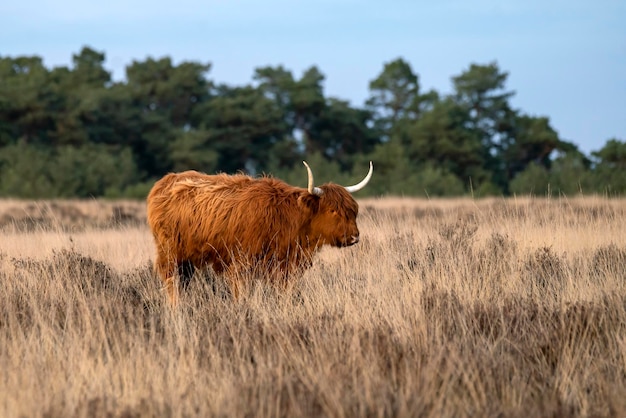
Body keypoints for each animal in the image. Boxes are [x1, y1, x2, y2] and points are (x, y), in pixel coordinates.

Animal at [146, 162, 370, 306]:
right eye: (333, 210)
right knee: (171, 282)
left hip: (188, 259)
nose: (354, 237)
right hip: (169, 253)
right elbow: (241, 293)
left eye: (353, 211)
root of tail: (165, 181)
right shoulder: (242, 263)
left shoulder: (284, 266)